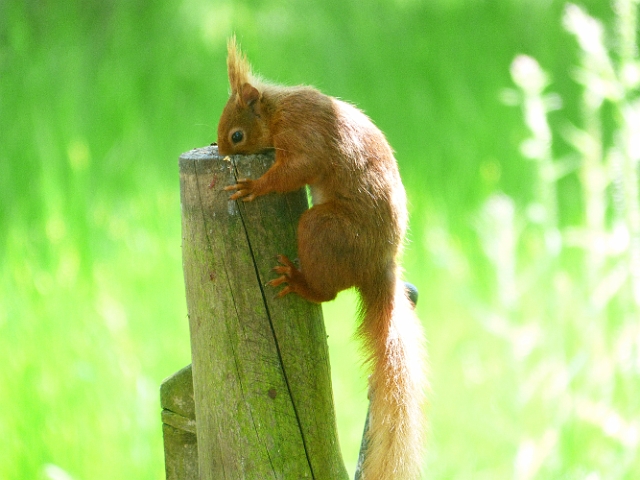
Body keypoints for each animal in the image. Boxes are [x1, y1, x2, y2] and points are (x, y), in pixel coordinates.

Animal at [217, 37, 426, 480]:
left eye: (237, 135)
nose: (221, 149)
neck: (278, 111)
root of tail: (378, 265)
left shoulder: (307, 136)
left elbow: (296, 170)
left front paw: (255, 186)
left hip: (323, 230)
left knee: (328, 291)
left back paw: (300, 282)